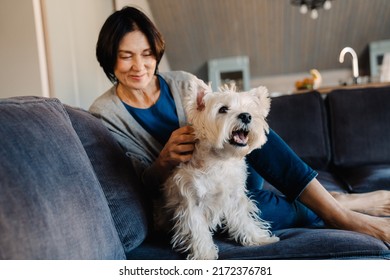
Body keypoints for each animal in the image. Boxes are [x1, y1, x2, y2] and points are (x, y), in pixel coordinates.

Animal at [163, 84, 278, 260]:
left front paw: (258, 238)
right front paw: (204, 255)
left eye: (249, 108)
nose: (246, 116)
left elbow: (244, 219)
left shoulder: (234, 197)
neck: (219, 160)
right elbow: (198, 231)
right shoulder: (191, 202)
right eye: (223, 109)